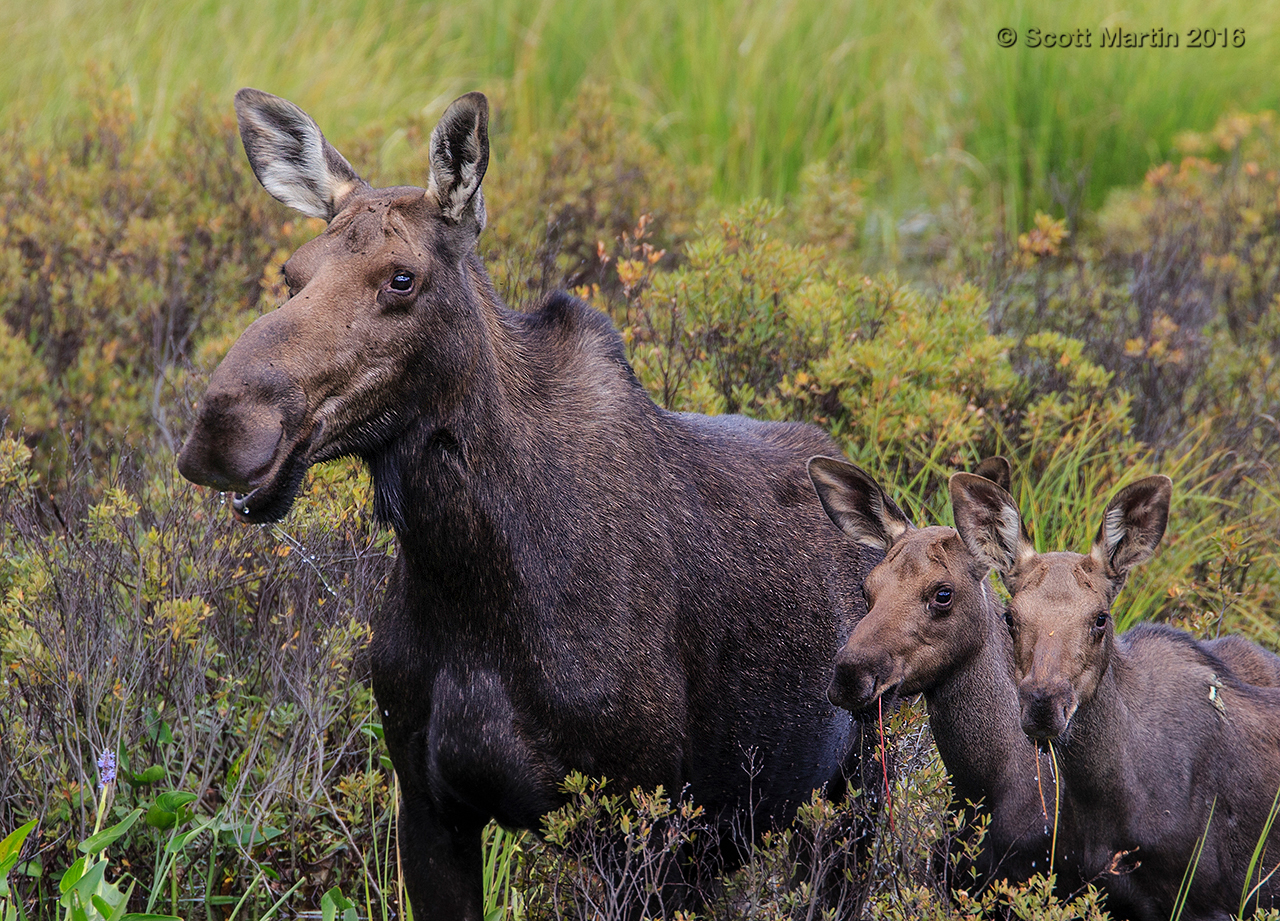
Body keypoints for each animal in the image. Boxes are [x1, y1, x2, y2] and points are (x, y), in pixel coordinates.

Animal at [177, 90, 880, 915]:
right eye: (292, 273)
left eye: (402, 278)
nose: (223, 426)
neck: (470, 574)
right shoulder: (429, 805)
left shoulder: (638, 827)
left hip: (849, 800)